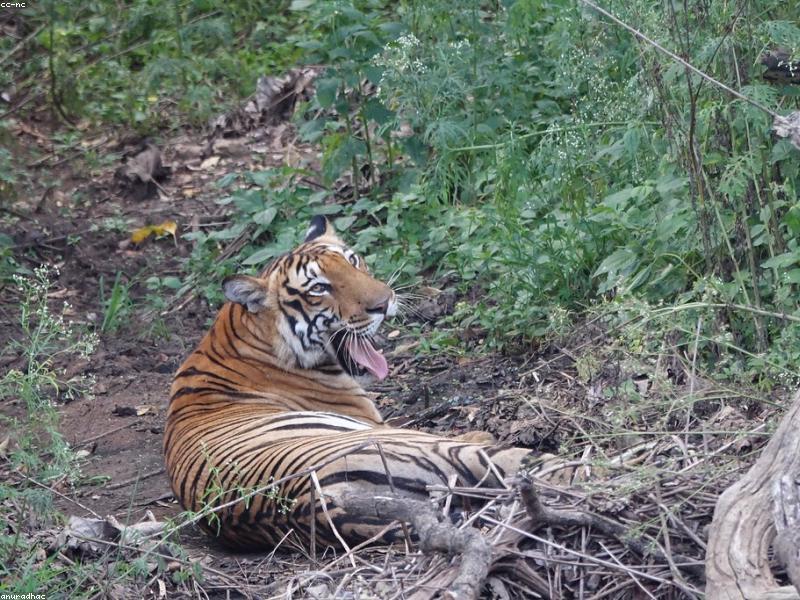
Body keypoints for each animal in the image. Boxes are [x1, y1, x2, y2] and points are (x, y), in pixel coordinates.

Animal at [163, 216, 533, 550]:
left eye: (352, 261)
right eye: (318, 288)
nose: (384, 303)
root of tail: (309, 505)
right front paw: (480, 431)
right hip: (421, 448)